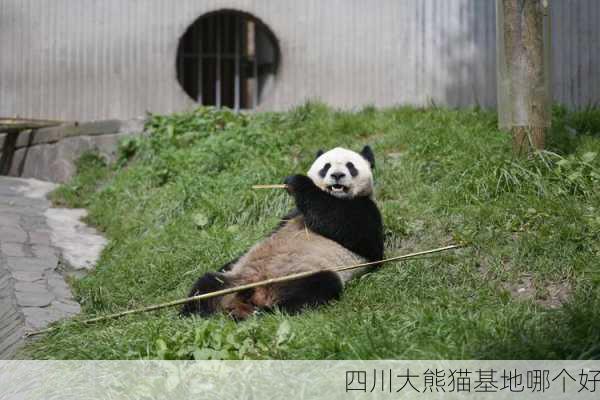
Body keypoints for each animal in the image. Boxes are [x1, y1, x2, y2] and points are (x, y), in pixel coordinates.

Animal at [180, 145, 382, 320]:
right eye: (326, 167)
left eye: (350, 166)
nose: (337, 175)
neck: (334, 196)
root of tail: (257, 291)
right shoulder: (291, 215)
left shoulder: (364, 210)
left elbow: (349, 229)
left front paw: (297, 181)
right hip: (233, 281)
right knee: (207, 284)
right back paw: (190, 314)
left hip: (302, 274)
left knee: (317, 287)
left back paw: (267, 312)